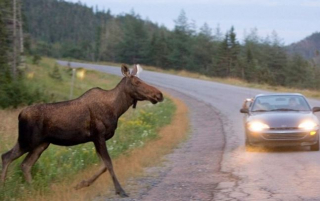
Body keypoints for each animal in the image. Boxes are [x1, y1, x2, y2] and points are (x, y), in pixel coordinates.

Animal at [0, 64, 162, 196]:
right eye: (137, 82)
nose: (159, 94)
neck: (117, 109)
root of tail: (20, 114)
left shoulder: (96, 139)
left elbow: (103, 165)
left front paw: (81, 184)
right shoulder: (98, 135)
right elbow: (108, 163)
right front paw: (120, 190)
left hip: (41, 144)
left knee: (25, 164)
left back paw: (32, 189)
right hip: (28, 140)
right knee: (7, 157)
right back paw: (4, 188)